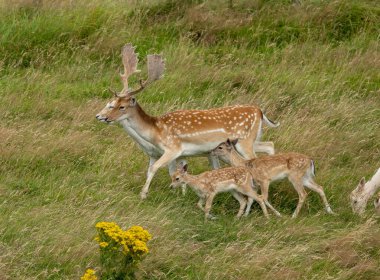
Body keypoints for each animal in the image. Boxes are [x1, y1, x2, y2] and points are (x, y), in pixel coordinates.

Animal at [95, 43, 280, 199]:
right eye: (110, 102)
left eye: (121, 106)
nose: (101, 117)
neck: (156, 130)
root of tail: (259, 111)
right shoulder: (172, 154)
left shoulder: (173, 148)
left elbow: (154, 168)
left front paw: (143, 194)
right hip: (250, 140)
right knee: (269, 145)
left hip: (244, 141)